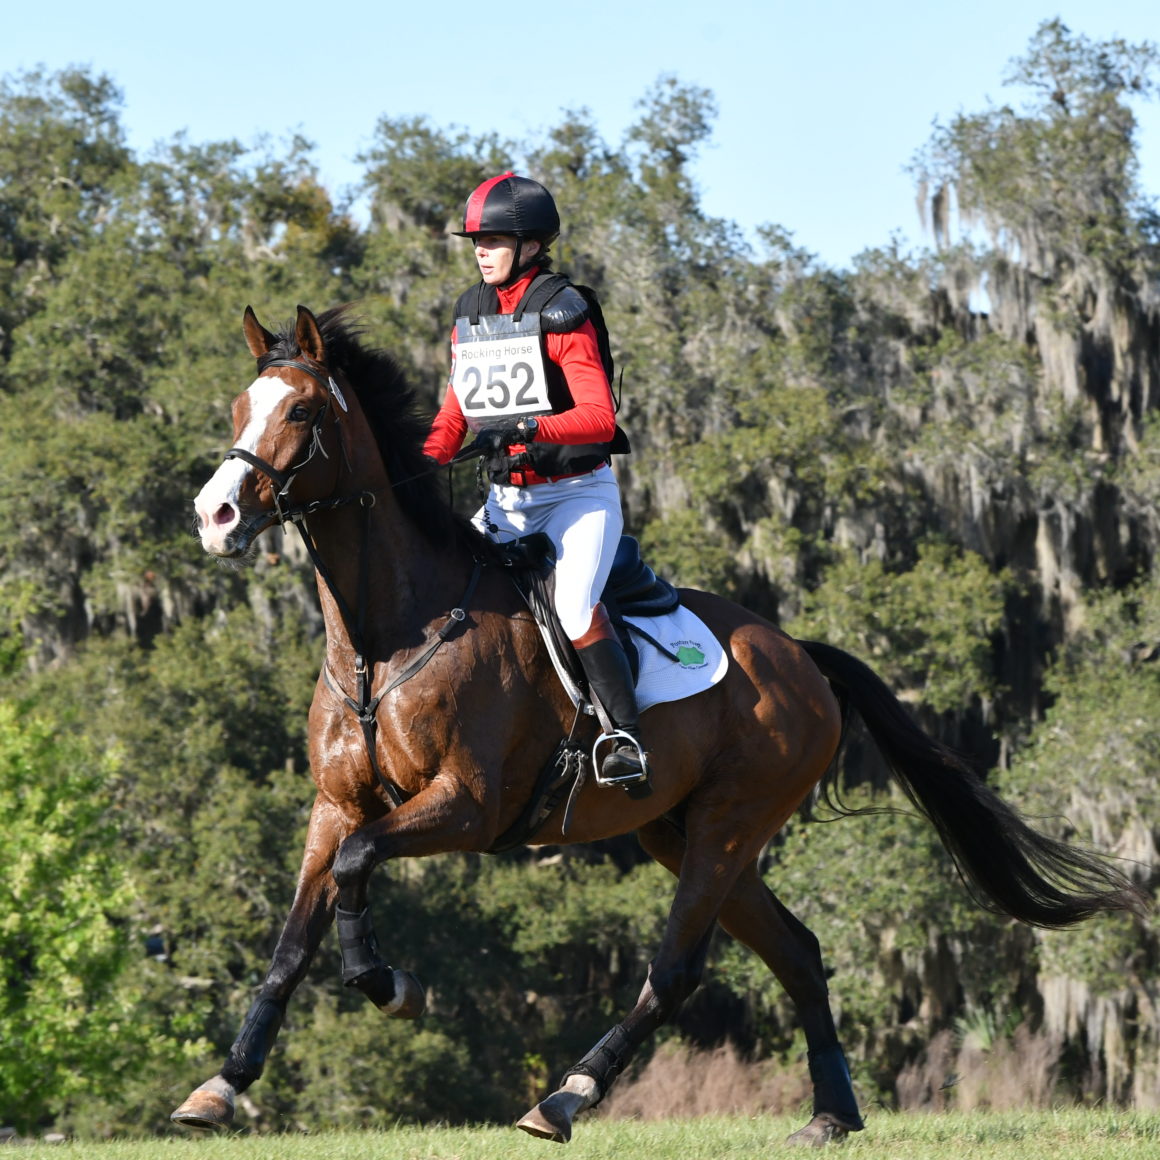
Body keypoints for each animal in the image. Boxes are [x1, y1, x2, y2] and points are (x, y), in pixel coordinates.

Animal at [175, 303, 1145, 1146]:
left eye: (303, 409)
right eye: (239, 408)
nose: (215, 516)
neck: (387, 640)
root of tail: (799, 656)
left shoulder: (467, 807)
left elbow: (356, 867)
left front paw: (389, 985)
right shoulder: (335, 805)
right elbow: (294, 937)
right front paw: (221, 1085)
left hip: (727, 825)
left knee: (673, 973)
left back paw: (566, 1097)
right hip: (681, 833)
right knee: (797, 952)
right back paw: (830, 1116)